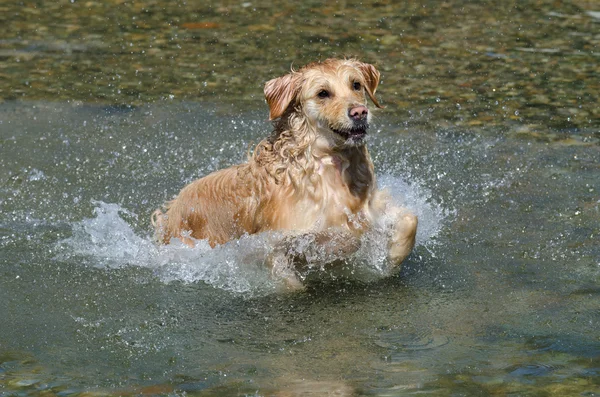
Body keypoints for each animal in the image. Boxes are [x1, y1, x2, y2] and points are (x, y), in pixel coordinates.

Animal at [152, 58, 418, 288]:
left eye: (356, 85)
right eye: (323, 93)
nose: (360, 112)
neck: (330, 168)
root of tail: (171, 210)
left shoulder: (370, 209)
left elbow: (409, 219)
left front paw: (391, 258)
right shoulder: (275, 241)